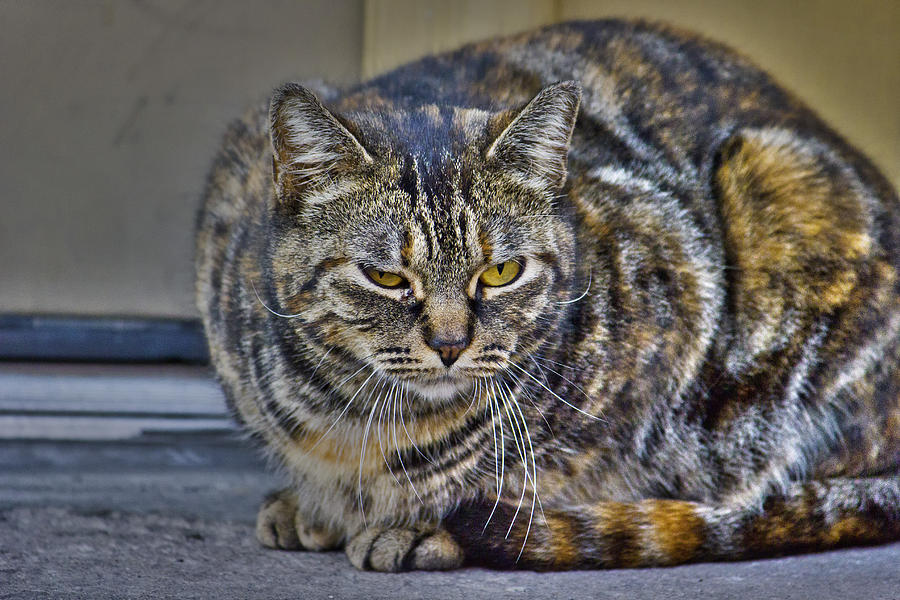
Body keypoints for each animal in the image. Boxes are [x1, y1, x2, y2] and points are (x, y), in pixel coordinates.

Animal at [197, 18, 900, 572]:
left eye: (502, 273)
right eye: (388, 278)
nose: (450, 344)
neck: (352, 423)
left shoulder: (681, 295)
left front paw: (423, 524)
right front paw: (312, 502)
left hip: (780, 181)